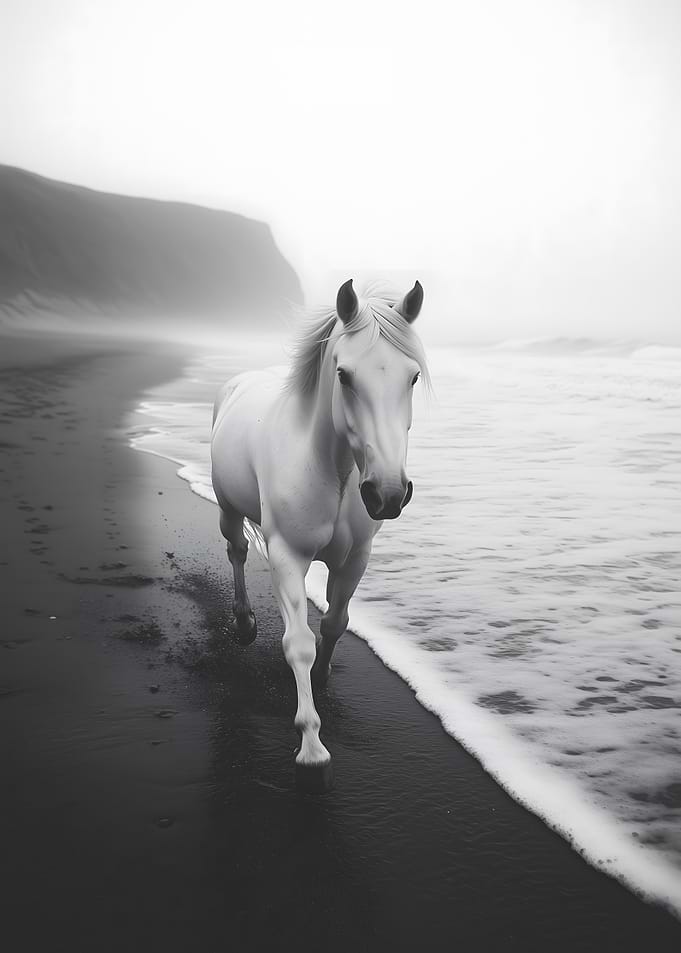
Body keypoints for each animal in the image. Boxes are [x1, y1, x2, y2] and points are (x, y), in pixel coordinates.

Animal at [210, 279, 428, 790]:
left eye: (412, 377)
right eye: (345, 376)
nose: (388, 493)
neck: (337, 470)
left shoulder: (356, 558)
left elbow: (334, 622)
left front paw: (326, 675)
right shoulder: (288, 556)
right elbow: (299, 643)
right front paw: (311, 744)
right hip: (228, 508)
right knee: (236, 552)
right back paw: (244, 623)